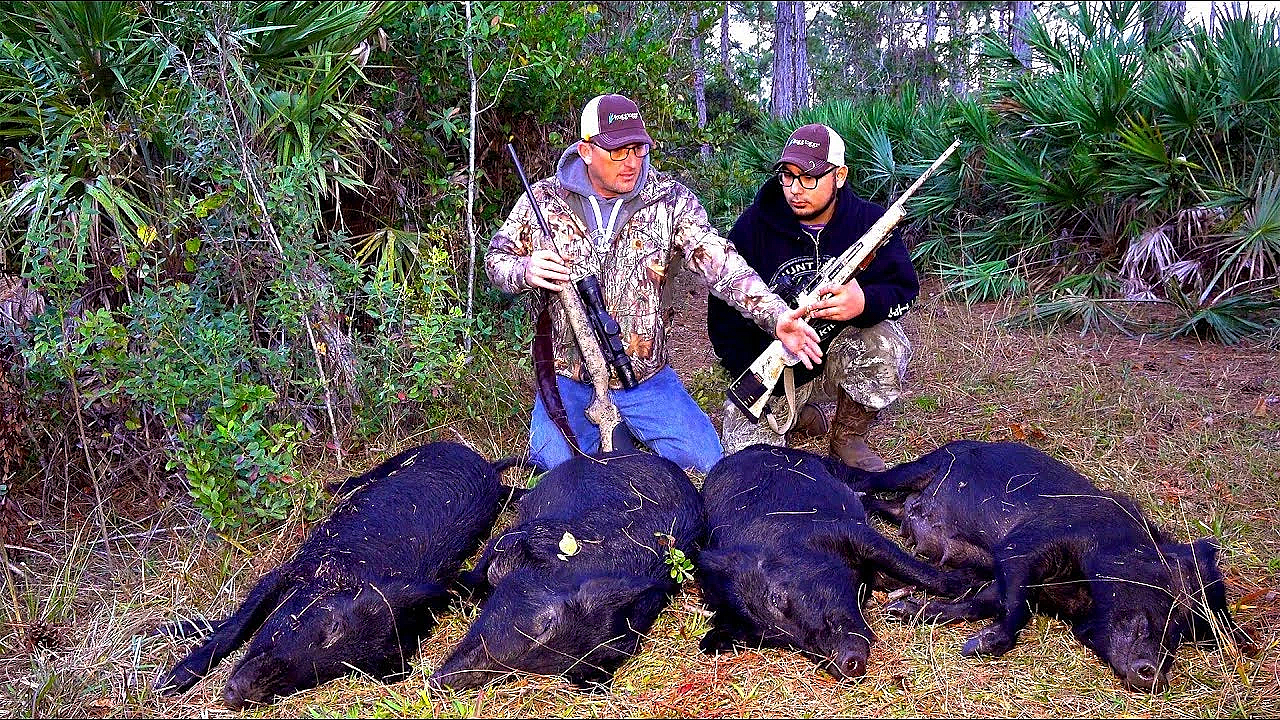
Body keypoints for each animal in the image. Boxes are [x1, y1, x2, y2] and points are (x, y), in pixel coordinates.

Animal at [156, 441, 523, 707]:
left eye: (338, 670)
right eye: (331, 627)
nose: (239, 696)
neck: (348, 576)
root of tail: (486, 466)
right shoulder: (288, 571)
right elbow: (236, 625)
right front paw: (169, 681)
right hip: (414, 454)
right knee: (365, 476)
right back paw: (332, 485)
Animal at [696, 444, 980, 681]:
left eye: (776, 599)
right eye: (771, 639)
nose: (844, 665)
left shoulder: (848, 531)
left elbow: (910, 567)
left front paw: (970, 579)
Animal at [839, 439, 1254, 692]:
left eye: (1182, 635)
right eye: (1170, 599)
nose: (1156, 678)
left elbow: (984, 601)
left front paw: (902, 611)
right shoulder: (1025, 544)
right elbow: (1013, 606)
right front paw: (976, 647)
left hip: (907, 509)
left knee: (885, 506)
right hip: (927, 463)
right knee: (873, 480)